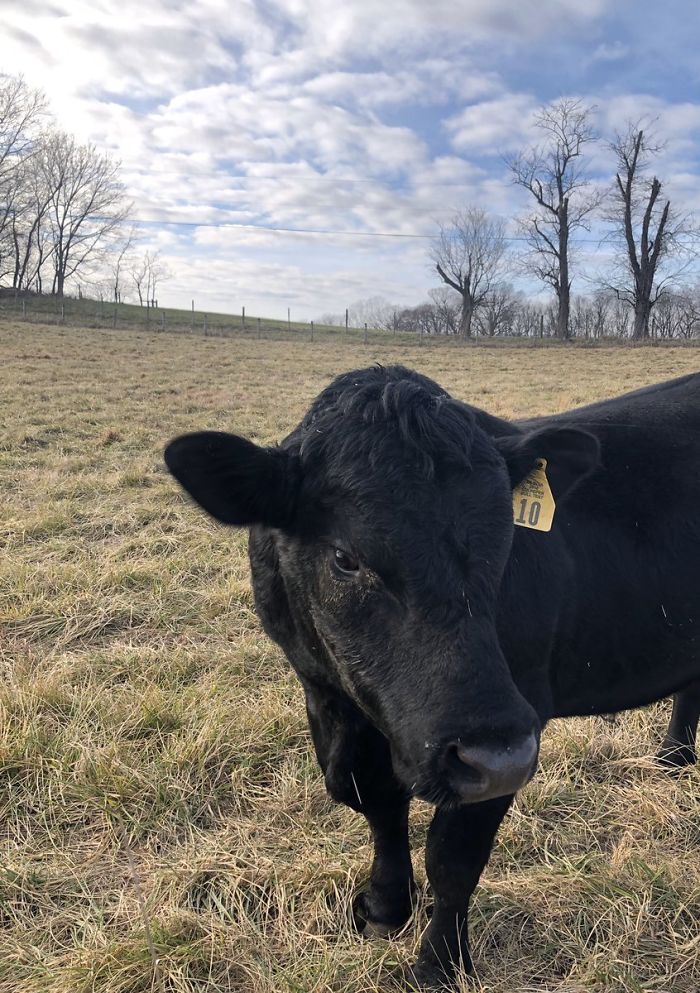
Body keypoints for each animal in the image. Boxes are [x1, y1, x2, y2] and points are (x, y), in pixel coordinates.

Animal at [164, 365, 700, 990]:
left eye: (506, 539)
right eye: (345, 557)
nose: (499, 758)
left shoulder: (510, 731)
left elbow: (453, 858)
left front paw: (439, 963)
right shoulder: (324, 694)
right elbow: (375, 803)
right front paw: (384, 908)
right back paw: (673, 759)